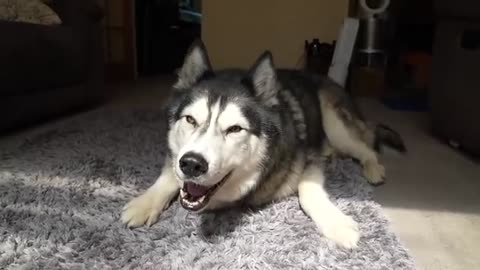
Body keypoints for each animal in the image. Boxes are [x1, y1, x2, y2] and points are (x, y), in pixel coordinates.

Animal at [121, 40, 404, 249]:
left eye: (235, 129)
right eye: (190, 120)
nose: (191, 164)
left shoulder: (308, 159)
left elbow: (308, 191)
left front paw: (337, 224)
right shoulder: (176, 156)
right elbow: (169, 174)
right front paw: (145, 202)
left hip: (336, 123)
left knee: (367, 146)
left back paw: (373, 169)